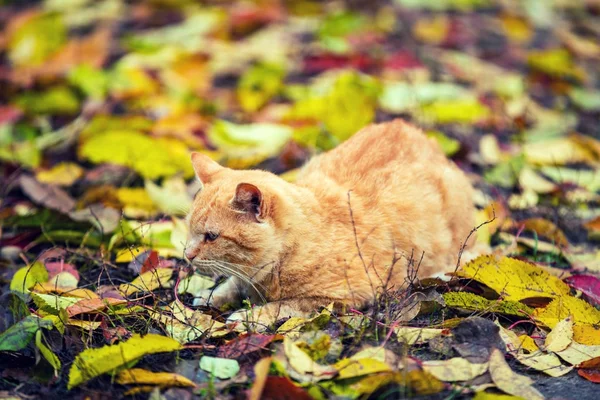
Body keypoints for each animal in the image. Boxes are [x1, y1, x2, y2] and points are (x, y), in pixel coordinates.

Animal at [185, 120, 476, 326]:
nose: (186, 255)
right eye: (189, 229)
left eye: (212, 236)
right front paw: (214, 295)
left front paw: (249, 316)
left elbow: (286, 305)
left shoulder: (343, 296)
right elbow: (233, 283)